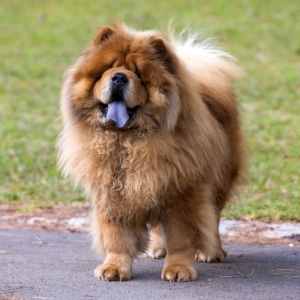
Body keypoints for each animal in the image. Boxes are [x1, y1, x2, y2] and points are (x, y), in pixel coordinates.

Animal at [58, 23, 244, 282]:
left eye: (138, 74)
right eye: (108, 68)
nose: (119, 77)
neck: (127, 142)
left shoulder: (181, 193)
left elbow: (181, 237)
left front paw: (178, 269)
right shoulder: (116, 193)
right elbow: (117, 238)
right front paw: (114, 268)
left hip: (218, 181)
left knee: (213, 217)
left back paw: (211, 252)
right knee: (158, 227)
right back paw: (157, 249)